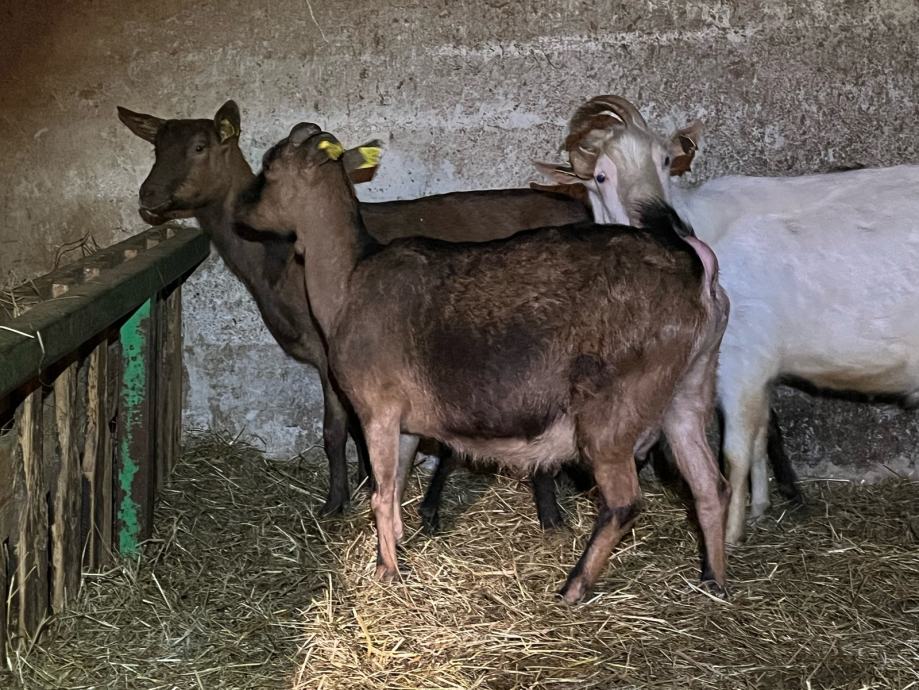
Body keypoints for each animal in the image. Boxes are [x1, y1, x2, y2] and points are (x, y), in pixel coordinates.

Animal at [117, 100, 589, 522]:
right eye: (156, 147)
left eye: (200, 147)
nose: (148, 195)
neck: (274, 256)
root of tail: (579, 205)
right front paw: (365, 483)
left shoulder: (329, 353)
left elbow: (335, 430)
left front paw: (337, 502)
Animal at [235, 122, 730, 602]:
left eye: (270, 165)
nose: (243, 212)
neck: (349, 279)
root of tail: (696, 268)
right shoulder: (407, 423)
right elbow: (395, 488)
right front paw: (397, 548)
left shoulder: (378, 409)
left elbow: (380, 493)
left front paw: (387, 572)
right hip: (689, 389)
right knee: (710, 485)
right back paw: (713, 581)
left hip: (612, 409)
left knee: (624, 501)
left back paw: (573, 588)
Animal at [544, 94, 919, 543]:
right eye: (601, 176)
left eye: (665, 161)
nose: (664, 224)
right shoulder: (756, 370)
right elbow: (758, 438)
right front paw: (758, 508)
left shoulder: (744, 360)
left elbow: (735, 453)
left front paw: (729, 532)